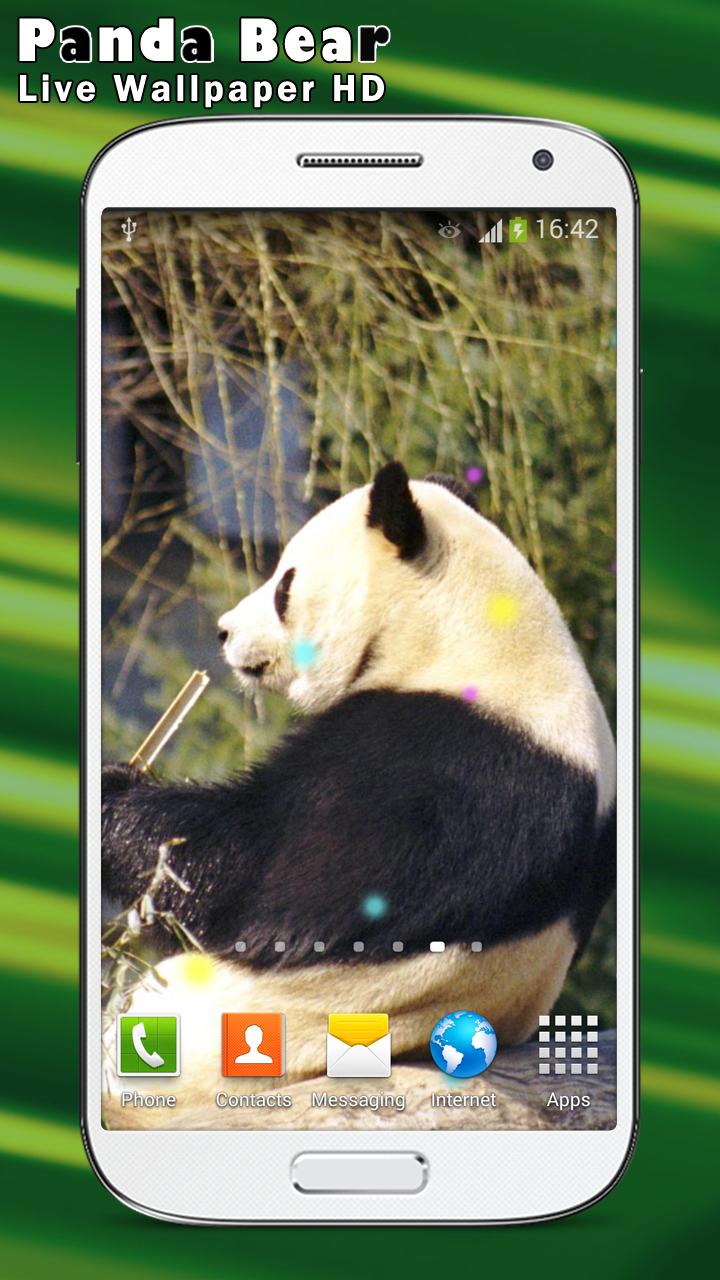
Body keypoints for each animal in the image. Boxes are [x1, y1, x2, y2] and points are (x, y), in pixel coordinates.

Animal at [101, 462, 615, 1114]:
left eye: (284, 585)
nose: (222, 632)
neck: (471, 634)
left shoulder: (441, 769)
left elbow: (245, 869)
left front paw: (115, 795)